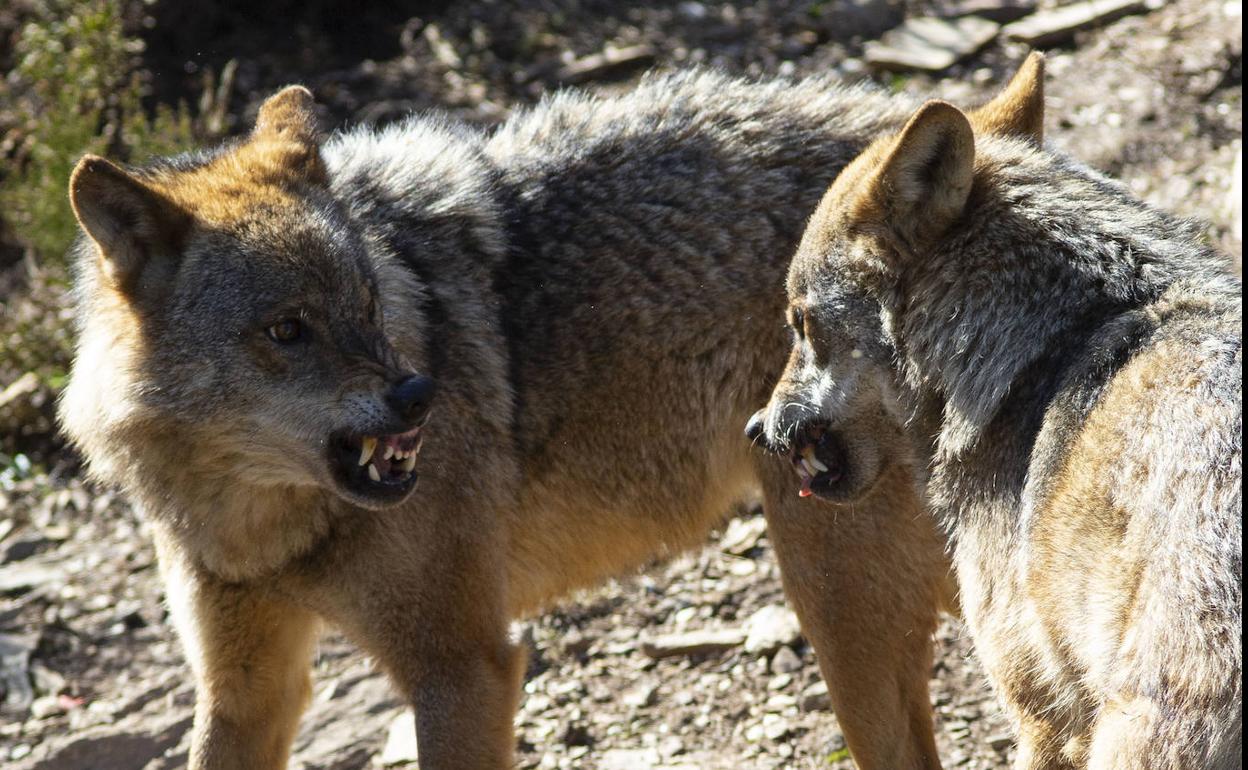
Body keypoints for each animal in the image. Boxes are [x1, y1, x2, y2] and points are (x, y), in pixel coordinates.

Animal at [58, 70, 958, 763]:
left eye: (368, 302)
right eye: (287, 329)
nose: (418, 396)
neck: (264, 528)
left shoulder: (464, 669)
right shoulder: (243, 693)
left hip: (837, 607)